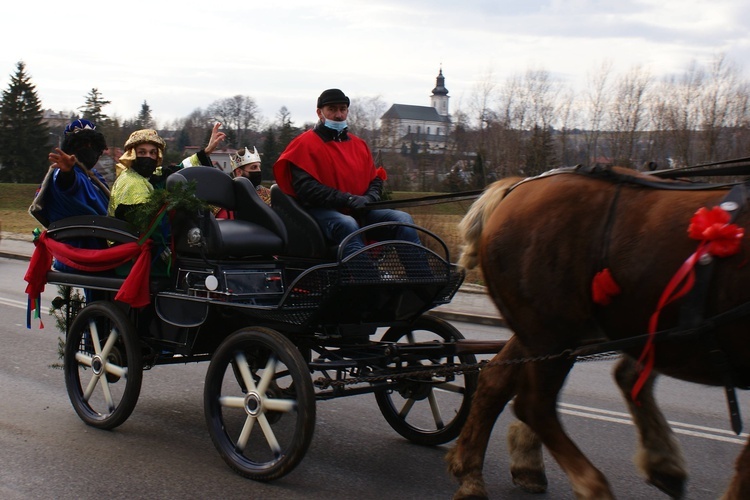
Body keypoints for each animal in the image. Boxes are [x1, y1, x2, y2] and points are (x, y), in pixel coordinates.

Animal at [446, 168, 750, 500]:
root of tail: (519, 185)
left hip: (556, 333)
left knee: (496, 383)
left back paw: (476, 474)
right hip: (552, 333)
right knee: (533, 404)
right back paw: (592, 485)